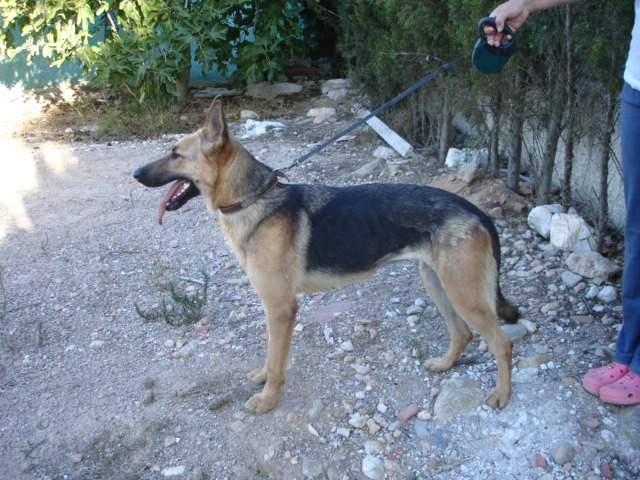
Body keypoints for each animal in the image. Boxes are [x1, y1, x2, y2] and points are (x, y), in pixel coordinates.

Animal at [135, 96, 520, 412]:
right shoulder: (272, 309)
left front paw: (267, 399)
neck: (254, 198)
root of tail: (474, 208)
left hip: (463, 293)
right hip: (438, 284)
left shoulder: (281, 309)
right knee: (463, 333)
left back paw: (502, 393)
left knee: (501, 343)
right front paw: (262, 377)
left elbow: (278, 362)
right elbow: (269, 355)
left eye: (175, 153)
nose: (135, 173)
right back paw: (443, 364)